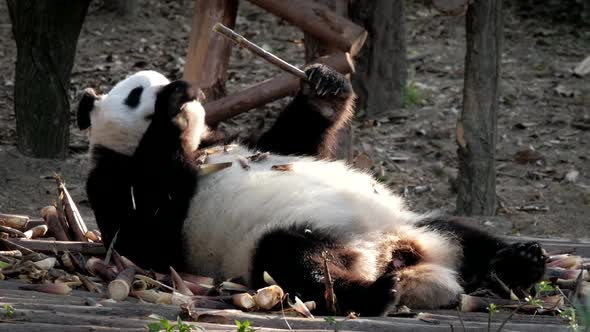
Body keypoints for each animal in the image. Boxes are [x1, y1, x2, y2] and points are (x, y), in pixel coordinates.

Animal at [78, 65, 552, 316]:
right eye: (137, 93)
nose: (185, 91)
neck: (198, 147)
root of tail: (392, 252)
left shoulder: (243, 142)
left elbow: (294, 142)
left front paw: (323, 87)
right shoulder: (115, 177)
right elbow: (148, 236)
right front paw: (172, 111)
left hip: (417, 225)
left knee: (465, 234)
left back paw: (521, 261)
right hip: (283, 241)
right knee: (294, 261)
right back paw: (377, 293)